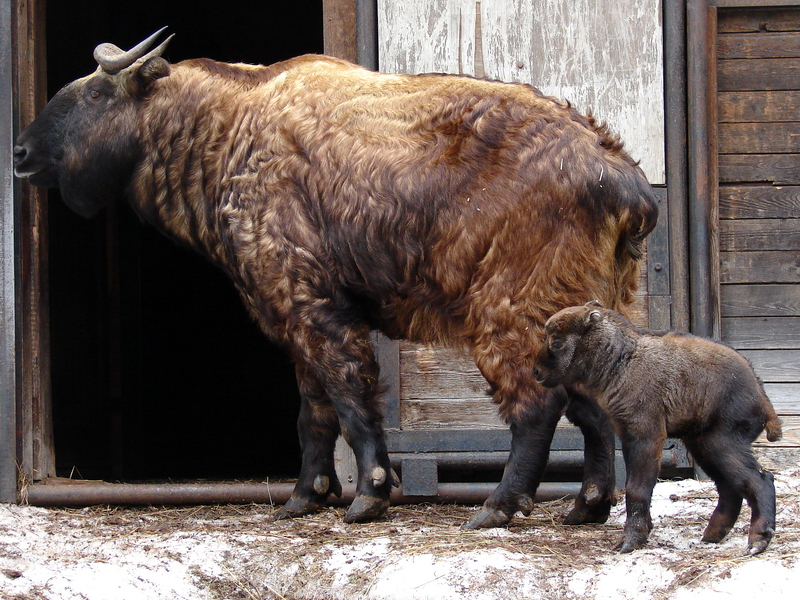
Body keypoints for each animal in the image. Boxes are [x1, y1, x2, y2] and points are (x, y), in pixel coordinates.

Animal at [14, 30, 658, 526]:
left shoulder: (311, 302)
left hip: (514, 308)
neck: (230, 127)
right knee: (592, 406)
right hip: (590, 310)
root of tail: (624, 177)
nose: (20, 153)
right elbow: (313, 413)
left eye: (97, 91)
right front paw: (307, 496)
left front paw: (369, 494)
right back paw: (589, 505)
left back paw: (500, 504)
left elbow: (349, 397)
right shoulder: (295, 315)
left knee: (535, 407)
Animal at [534, 302, 782, 554]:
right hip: (703, 446)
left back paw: (757, 541)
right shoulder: (628, 436)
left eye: (556, 342)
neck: (622, 359)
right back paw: (713, 534)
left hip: (723, 443)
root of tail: (761, 396)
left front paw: (630, 542)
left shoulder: (646, 435)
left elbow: (636, 488)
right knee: (729, 488)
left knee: (760, 480)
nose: (537, 371)